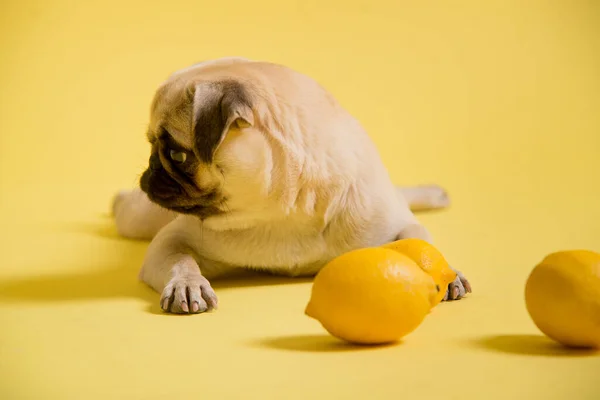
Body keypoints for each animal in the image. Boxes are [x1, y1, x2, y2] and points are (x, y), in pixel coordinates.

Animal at [110, 57, 472, 312]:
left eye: (177, 155)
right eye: (157, 148)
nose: (151, 169)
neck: (287, 208)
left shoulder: (391, 223)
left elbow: (422, 244)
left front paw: (447, 272)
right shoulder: (170, 242)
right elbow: (181, 260)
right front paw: (188, 283)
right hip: (140, 220)